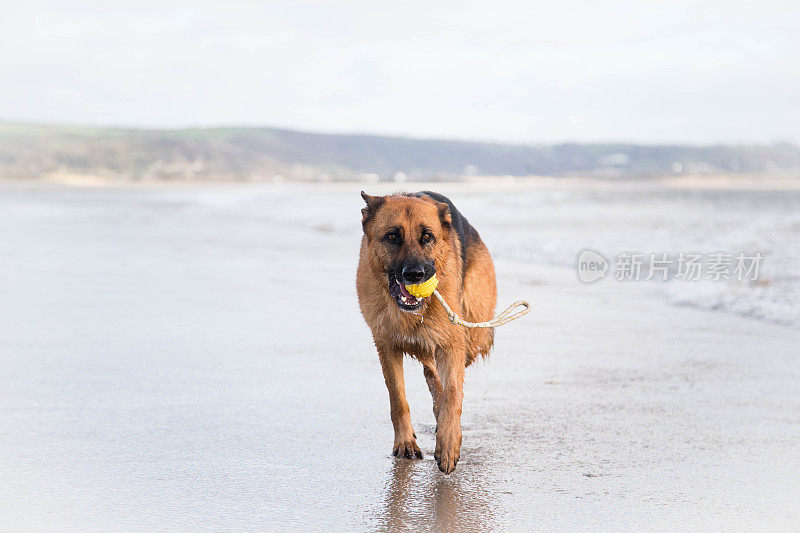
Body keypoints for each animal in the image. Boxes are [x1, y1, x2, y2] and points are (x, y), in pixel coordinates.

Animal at [356, 189, 494, 472]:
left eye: (427, 237)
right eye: (392, 236)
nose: (415, 274)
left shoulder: (452, 342)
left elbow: (453, 394)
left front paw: (449, 442)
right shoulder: (386, 346)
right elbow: (398, 398)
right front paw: (405, 442)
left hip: (475, 336)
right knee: (430, 373)